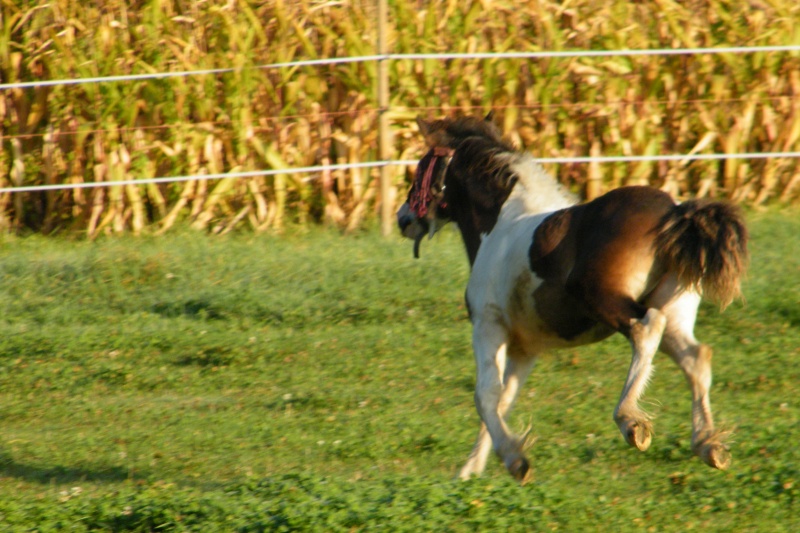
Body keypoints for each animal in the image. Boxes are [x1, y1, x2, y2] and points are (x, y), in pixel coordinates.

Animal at [396, 113, 748, 482]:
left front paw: (513, 461)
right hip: (675, 312)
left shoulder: (487, 323)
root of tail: (676, 214)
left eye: (421, 168)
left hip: (604, 297)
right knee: (696, 357)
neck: (502, 226)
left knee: (646, 328)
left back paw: (630, 421)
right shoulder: (525, 347)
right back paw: (709, 445)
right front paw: (473, 469)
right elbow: (505, 398)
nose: (403, 219)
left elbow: (485, 395)